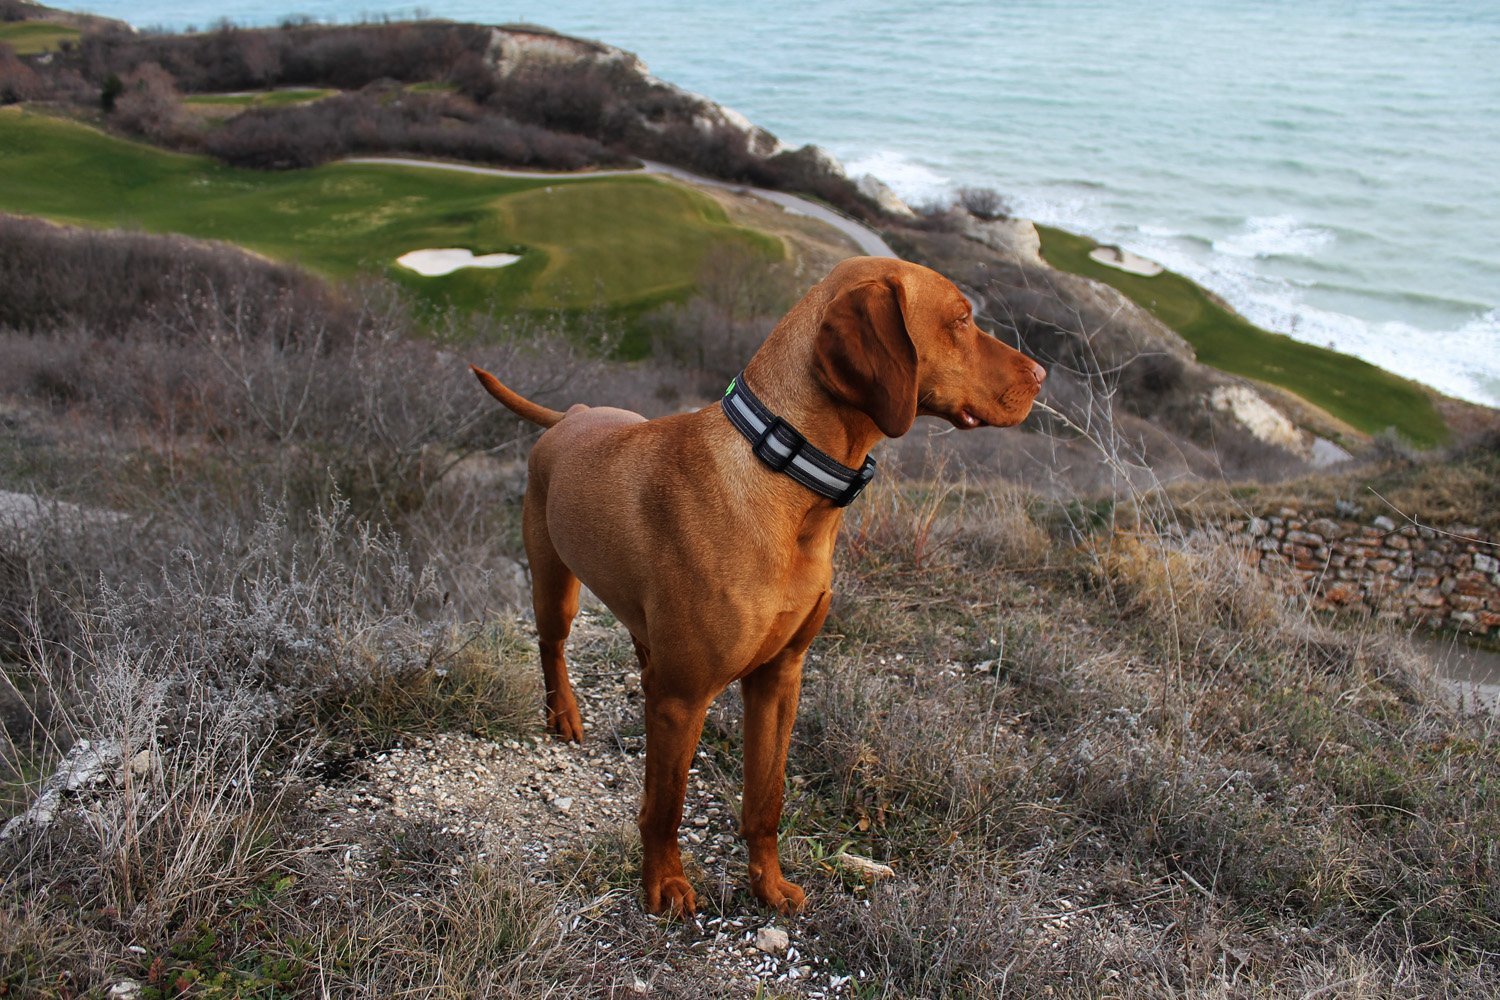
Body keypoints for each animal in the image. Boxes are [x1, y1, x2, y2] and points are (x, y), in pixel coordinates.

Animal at [471, 256, 1044, 916]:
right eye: (962, 320)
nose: (1042, 374)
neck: (785, 472)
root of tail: (573, 413)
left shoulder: (779, 676)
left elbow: (765, 801)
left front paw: (769, 884)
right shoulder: (683, 699)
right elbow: (665, 808)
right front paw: (664, 884)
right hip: (554, 582)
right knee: (552, 645)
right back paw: (561, 712)